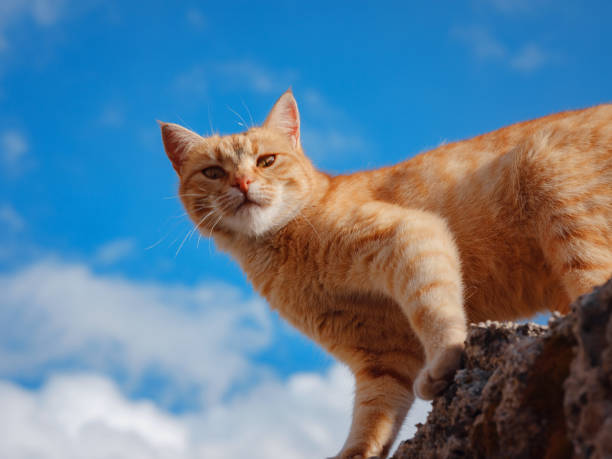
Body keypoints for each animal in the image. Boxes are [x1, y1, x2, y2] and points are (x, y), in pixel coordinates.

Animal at [160, 90, 612, 459]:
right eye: (213, 172)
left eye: (266, 161)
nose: (242, 182)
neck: (278, 250)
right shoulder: (382, 355)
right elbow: (373, 415)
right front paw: (355, 452)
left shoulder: (412, 235)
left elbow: (435, 311)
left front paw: (445, 360)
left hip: (555, 192)